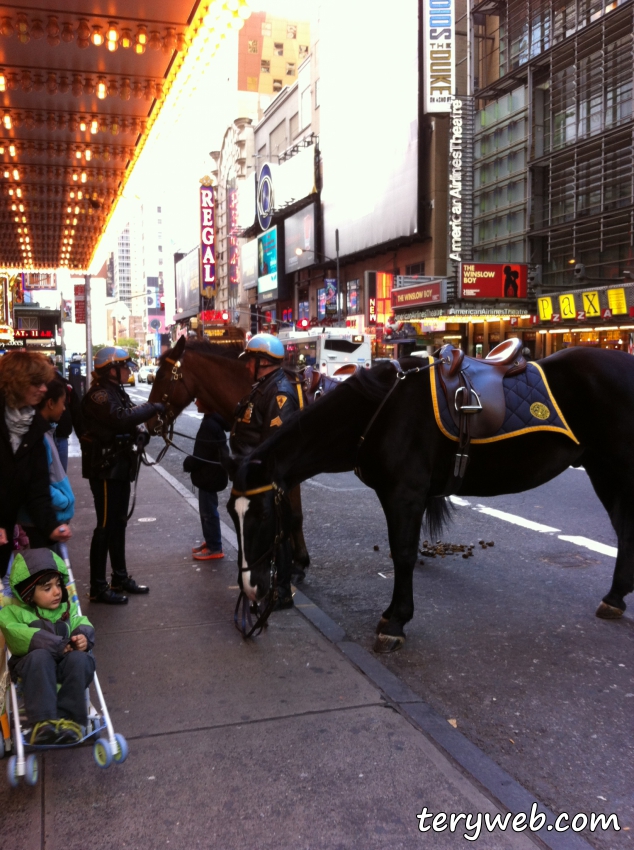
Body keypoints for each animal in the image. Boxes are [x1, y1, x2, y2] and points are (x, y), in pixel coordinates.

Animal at [227, 344, 632, 648]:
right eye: (232, 513)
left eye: (262, 514)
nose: (251, 588)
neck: (380, 410)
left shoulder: (405, 494)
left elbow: (402, 554)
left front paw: (395, 622)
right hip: (602, 467)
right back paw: (615, 596)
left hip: (617, 467)